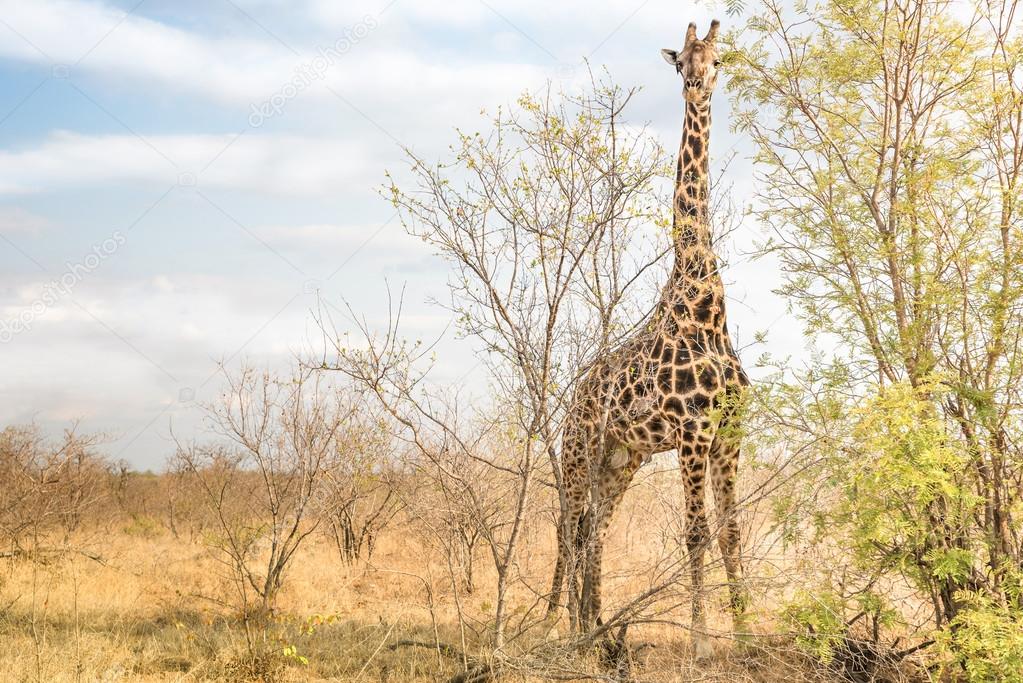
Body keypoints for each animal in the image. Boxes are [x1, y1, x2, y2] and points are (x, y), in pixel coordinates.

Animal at [548, 17, 748, 654]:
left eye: (717, 60)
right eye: (681, 60)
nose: (696, 85)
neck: (706, 305)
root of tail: (575, 396)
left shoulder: (729, 435)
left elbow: (730, 532)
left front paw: (747, 634)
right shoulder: (692, 435)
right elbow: (696, 533)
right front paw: (702, 642)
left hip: (621, 457)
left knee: (593, 529)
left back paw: (593, 626)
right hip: (580, 450)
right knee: (568, 524)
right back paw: (553, 626)